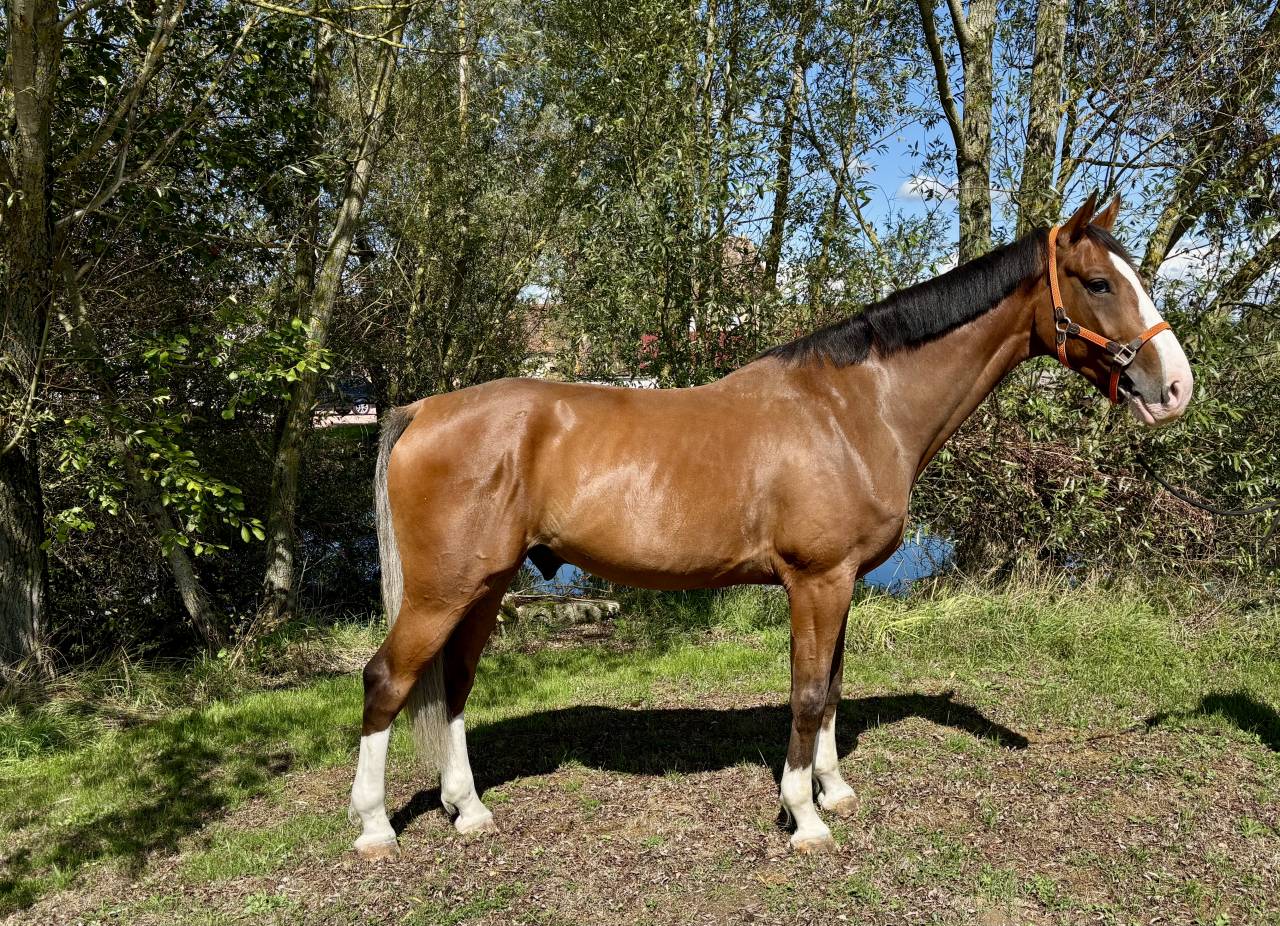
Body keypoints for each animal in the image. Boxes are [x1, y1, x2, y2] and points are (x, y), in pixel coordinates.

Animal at [347, 195, 1193, 858]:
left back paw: (469, 811)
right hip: (443, 590)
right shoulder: (816, 581)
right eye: (1097, 283)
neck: (854, 409)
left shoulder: (844, 583)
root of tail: (424, 410)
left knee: (454, 686)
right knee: (387, 680)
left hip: (484, 587)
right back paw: (375, 827)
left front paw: (833, 789)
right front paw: (805, 818)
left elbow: (835, 686)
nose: (1177, 387)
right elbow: (809, 691)